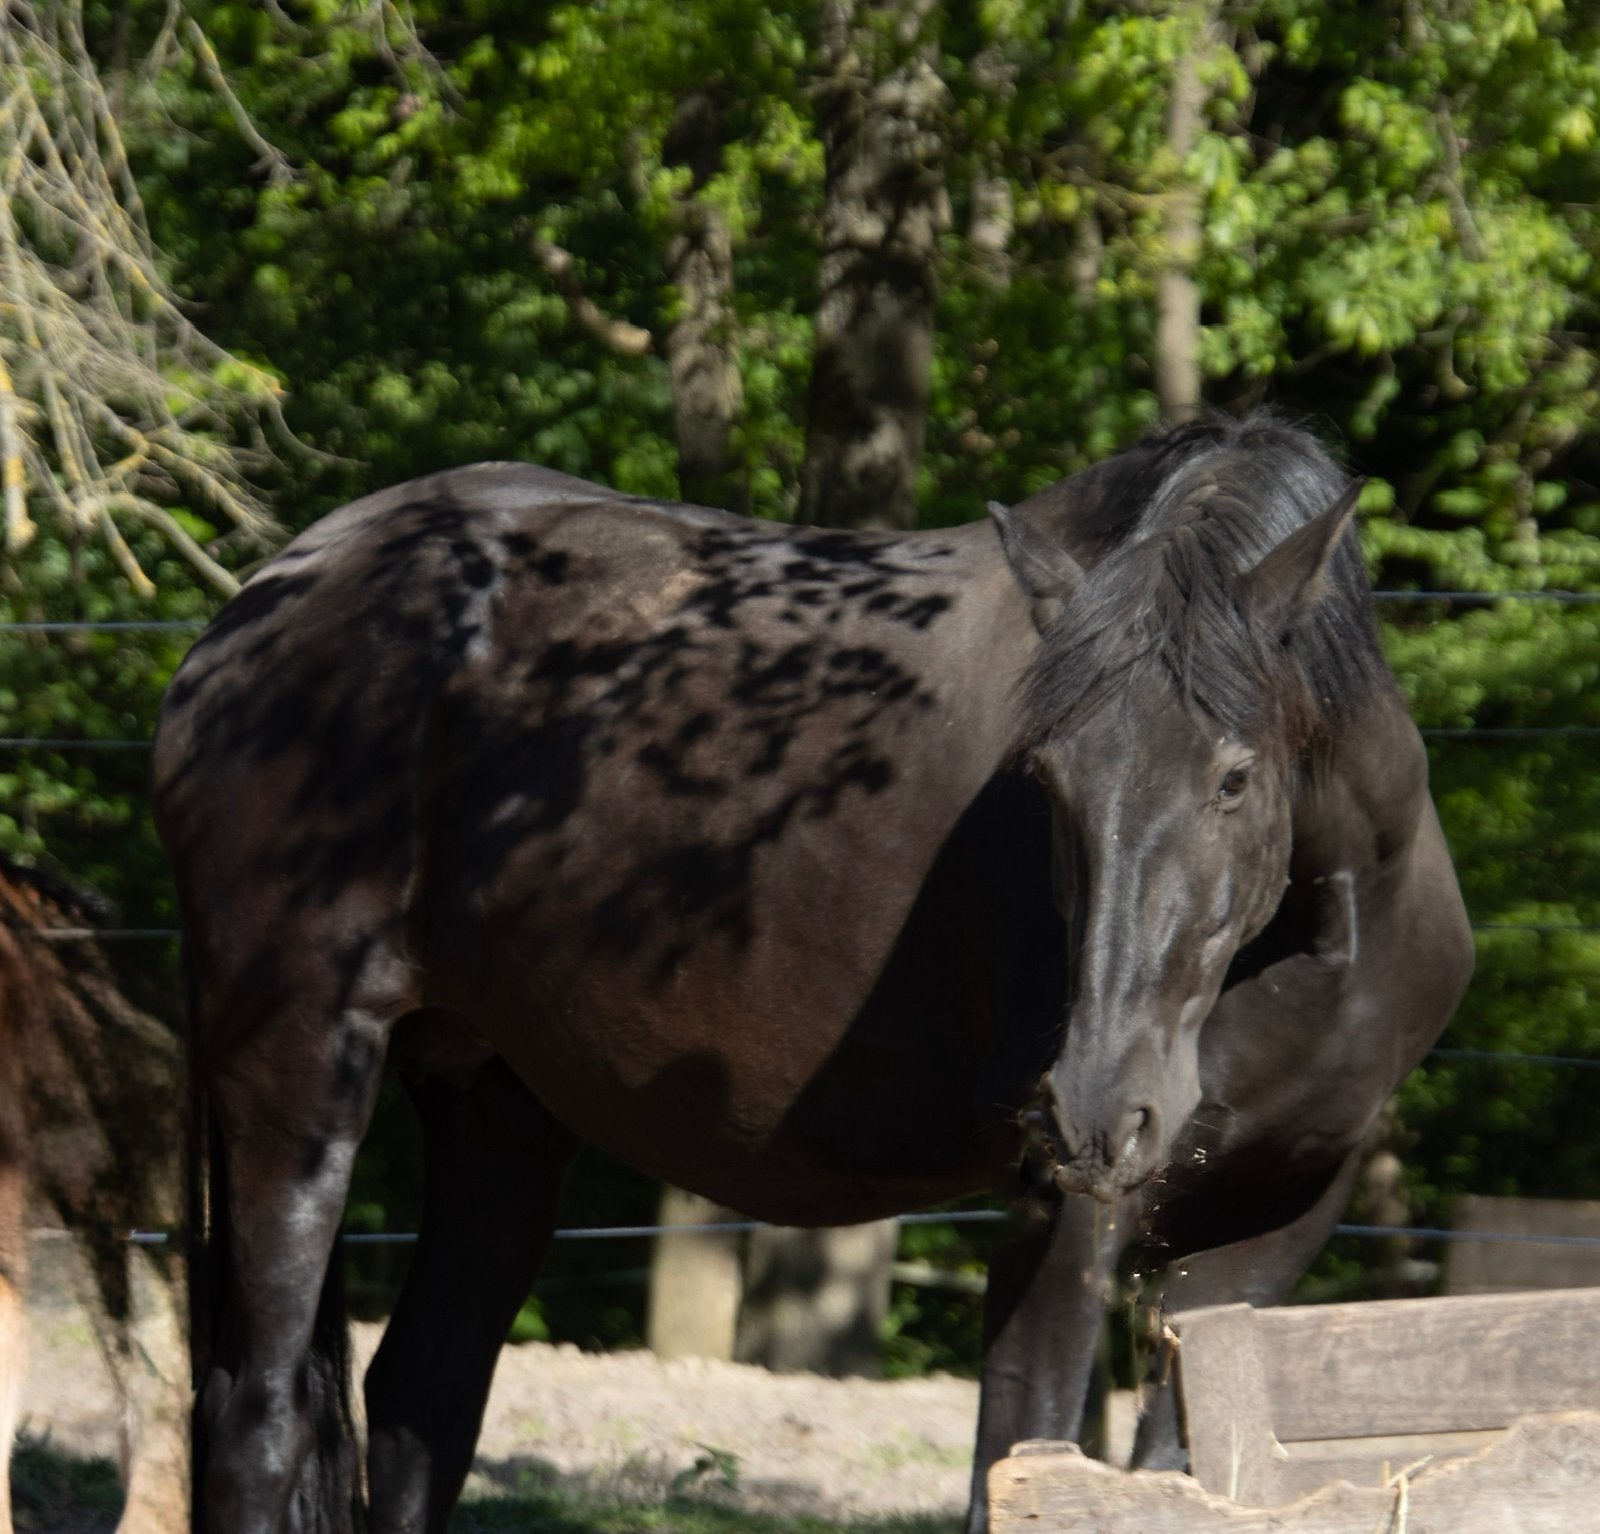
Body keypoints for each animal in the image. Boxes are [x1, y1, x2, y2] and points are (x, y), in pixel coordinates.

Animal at [152, 413, 1473, 1534]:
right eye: (1043, 779)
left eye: (1235, 776)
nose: (1099, 1107)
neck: (1326, 935)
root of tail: (266, 601)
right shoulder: (1069, 1226)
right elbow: (1020, 1461)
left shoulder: (1267, 1233)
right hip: (299, 1067)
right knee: (258, 1415)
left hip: (496, 1107)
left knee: (424, 1395)